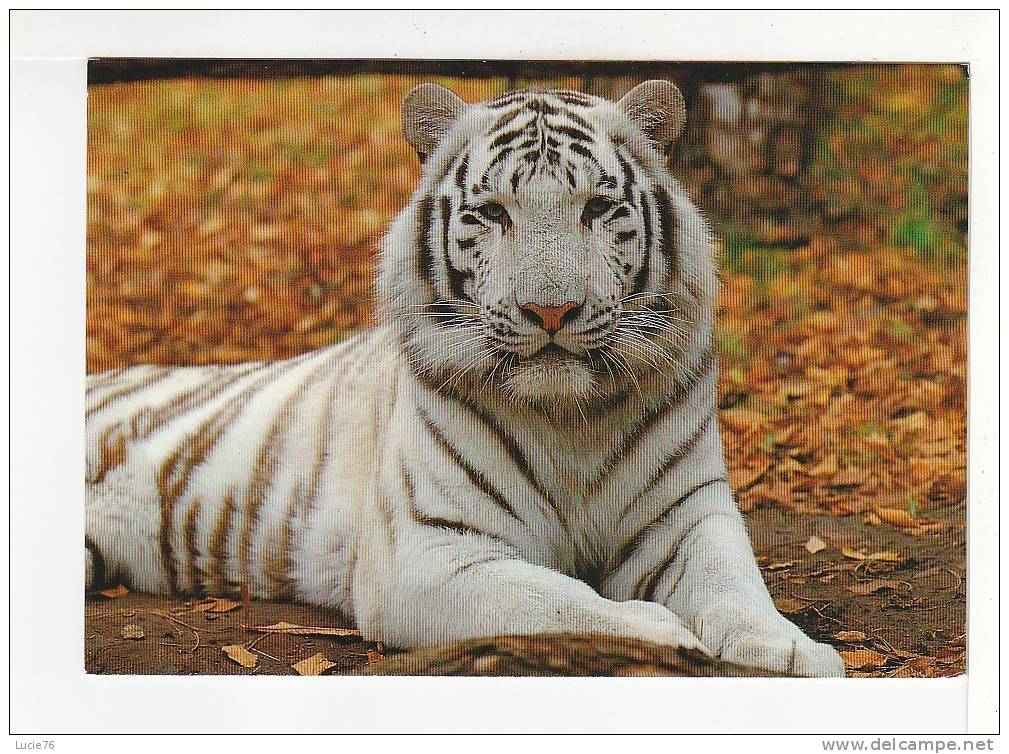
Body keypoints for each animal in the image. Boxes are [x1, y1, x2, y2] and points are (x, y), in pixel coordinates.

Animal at [84, 81, 843, 678]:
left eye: (597, 209)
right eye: (493, 213)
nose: (550, 310)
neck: (573, 420)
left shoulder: (686, 515)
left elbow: (736, 587)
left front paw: (790, 650)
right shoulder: (428, 551)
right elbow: (553, 601)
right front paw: (663, 632)